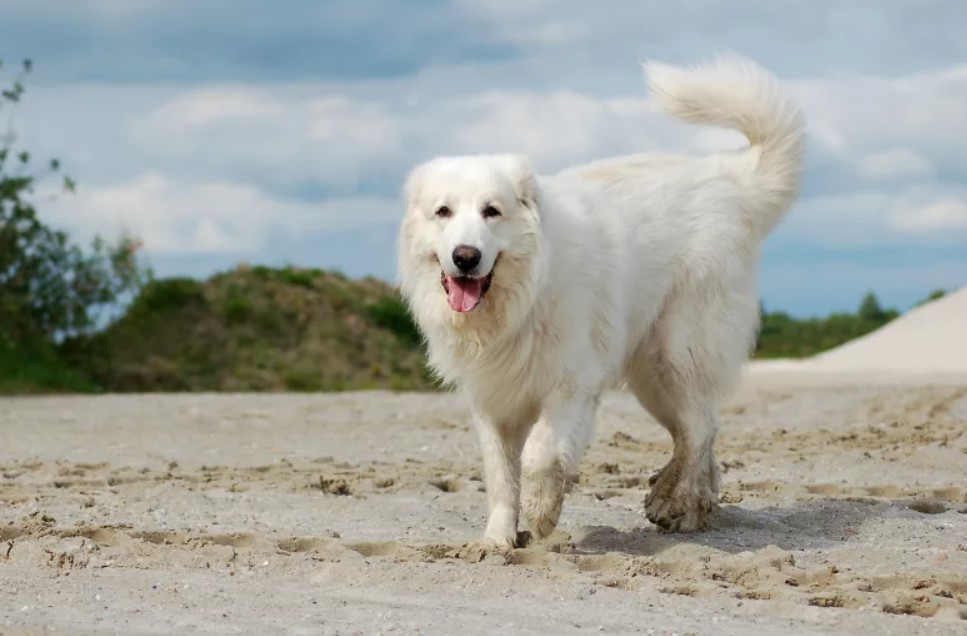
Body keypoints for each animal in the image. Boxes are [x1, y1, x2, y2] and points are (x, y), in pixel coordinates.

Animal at [398, 53, 804, 548]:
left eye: (492, 211)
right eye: (444, 212)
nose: (465, 257)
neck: (520, 303)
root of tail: (730, 178)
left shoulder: (571, 384)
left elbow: (539, 455)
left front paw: (542, 512)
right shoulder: (492, 399)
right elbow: (500, 476)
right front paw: (497, 540)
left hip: (679, 350)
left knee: (700, 427)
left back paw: (672, 500)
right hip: (651, 376)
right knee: (697, 430)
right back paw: (692, 506)